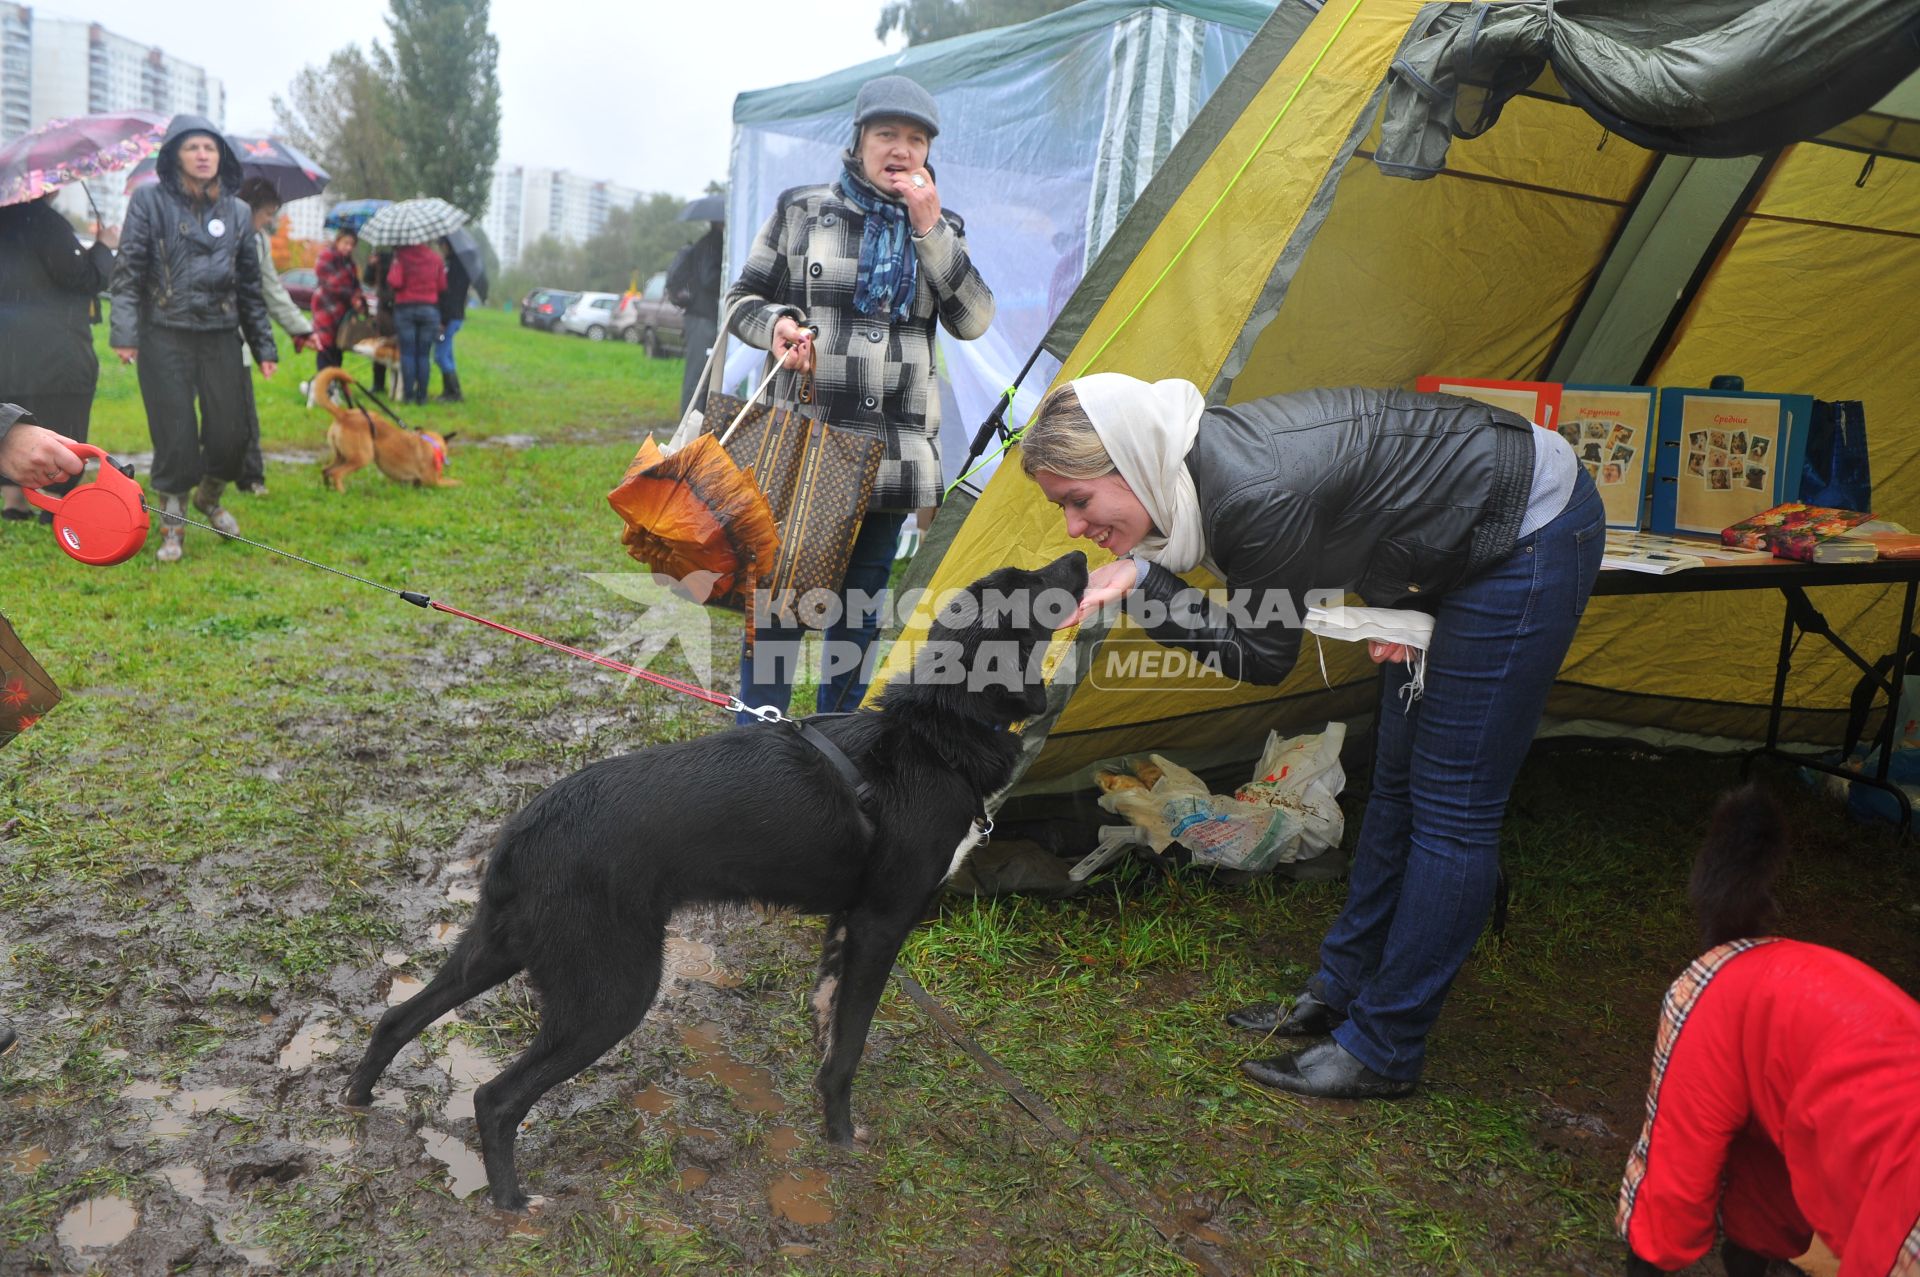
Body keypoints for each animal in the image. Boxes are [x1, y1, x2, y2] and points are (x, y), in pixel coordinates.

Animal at [314, 368, 464, 491]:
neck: (431, 443)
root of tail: (344, 414)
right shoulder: (434, 482)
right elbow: (456, 482)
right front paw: (461, 484)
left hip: (342, 456)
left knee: (325, 470)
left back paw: (328, 491)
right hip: (362, 457)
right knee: (336, 473)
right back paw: (342, 493)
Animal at [345, 549, 1090, 1205]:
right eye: (1030, 587)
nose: (1084, 556)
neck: (932, 737)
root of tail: (529, 825)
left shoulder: (846, 923)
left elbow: (828, 1026)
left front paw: (822, 1104)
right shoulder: (882, 925)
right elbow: (849, 1046)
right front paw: (842, 1137)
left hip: (500, 948)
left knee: (397, 1017)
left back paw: (358, 1096)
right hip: (612, 992)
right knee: (495, 1098)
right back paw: (511, 1200)